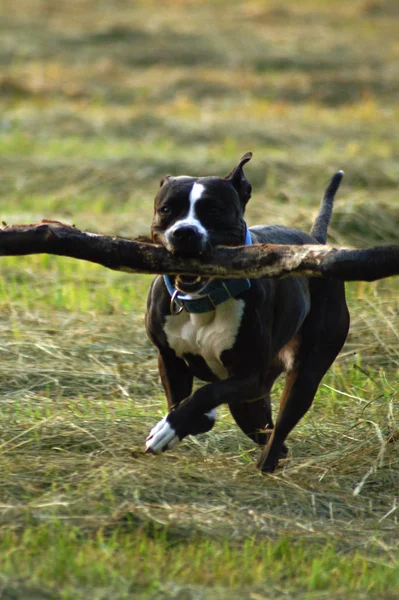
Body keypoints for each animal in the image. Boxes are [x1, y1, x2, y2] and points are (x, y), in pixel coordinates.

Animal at [144, 155, 350, 474]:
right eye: (167, 209)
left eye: (215, 209)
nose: (184, 232)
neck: (204, 299)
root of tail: (316, 241)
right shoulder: (169, 360)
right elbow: (181, 400)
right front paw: (187, 422)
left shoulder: (249, 377)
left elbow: (204, 394)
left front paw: (172, 427)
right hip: (252, 403)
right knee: (265, 430)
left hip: (304, 374)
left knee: (279, 430)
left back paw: (266, 465)